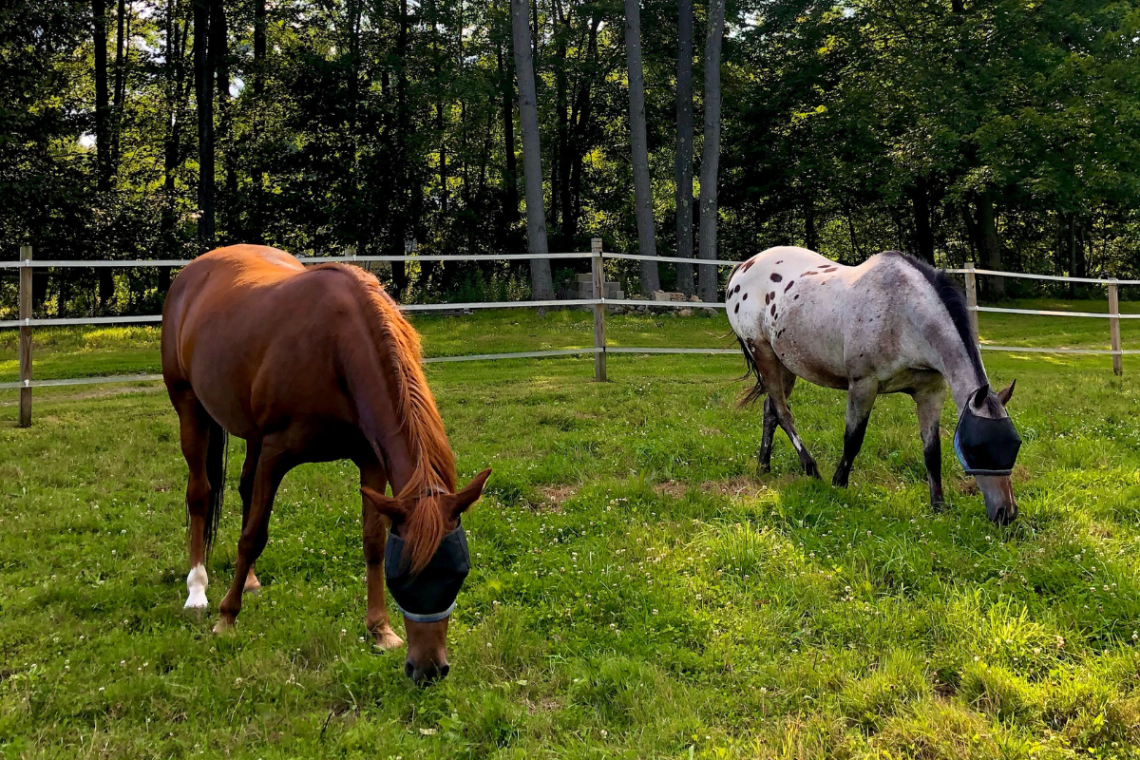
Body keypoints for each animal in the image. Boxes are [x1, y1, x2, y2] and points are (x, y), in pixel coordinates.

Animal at [161, 244, 491, 683]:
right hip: (190, 408)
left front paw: (380, 629)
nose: (428, 670)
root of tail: (192, 272)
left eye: (458, 573)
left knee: (245, 489)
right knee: (200, 493)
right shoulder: (276, 454)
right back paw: (197, 590)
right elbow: (253, 536)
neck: (336, 349)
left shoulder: (371, 461)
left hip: (249, 433)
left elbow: (372, 541)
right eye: (401, 576)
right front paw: (226, 618)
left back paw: (248, 580)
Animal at [726, 247, 1021, 524]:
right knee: (783, 413)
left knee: (771, 410)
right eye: (976, 448)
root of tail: (743, 268)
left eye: (1015, 444)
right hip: (763, 353)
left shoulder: (931, 393)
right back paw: (811, 469)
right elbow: (853, 440)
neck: (903, 313)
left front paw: (938, 506)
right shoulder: (863, 386)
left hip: (785, 363)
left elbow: (932, 451)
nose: (1006, 514)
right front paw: (838, 484)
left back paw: (764, 467)